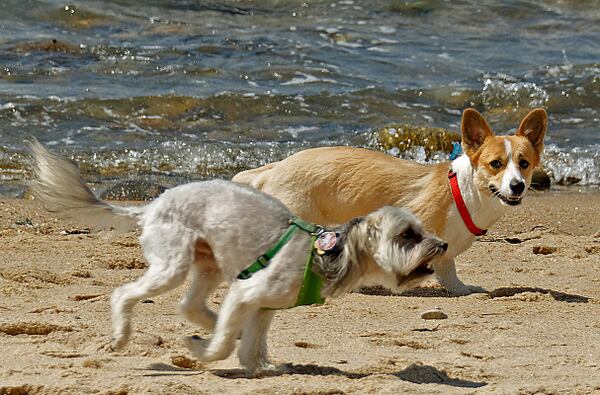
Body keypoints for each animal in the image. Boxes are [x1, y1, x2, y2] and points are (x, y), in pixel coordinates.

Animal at [30, 141, 448, 376]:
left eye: (422, 229)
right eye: (408, 236)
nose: (442, 246)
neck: (324, 254)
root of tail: (150, 207)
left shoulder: (262, 306)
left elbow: (251, 344)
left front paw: (260, 366)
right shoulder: (246, 293)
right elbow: (226, 346)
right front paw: (203, 350)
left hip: (209, 264)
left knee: (191, 306)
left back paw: (212, 324)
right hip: (173, 265)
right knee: (125, 295)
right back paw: (123, 337)